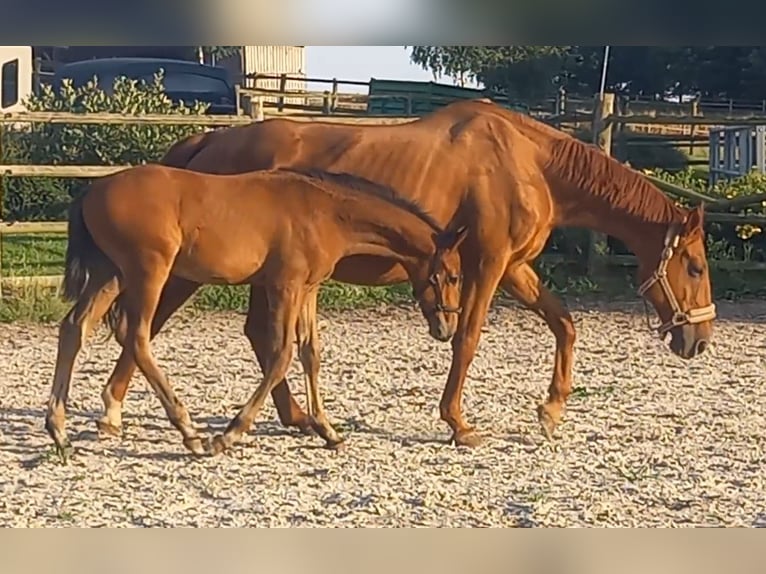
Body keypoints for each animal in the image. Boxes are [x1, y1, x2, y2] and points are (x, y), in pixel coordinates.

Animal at [48, 164, 472, 462]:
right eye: (452, 275)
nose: (447, 326)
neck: (324, 212)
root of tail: (92, 190)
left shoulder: (308, 289)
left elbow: (310, 354)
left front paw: (328, 431)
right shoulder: (284, 286)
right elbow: (281, 354)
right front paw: (230, 433)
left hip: (110, 273)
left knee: (74, 329)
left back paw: (60, 431)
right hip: (147, 271)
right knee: (135, 336)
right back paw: (190, 433)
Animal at [93, 99, 716, 450]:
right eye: (694, 264)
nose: (700, 340)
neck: (528, 162)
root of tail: (208, 141)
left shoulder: (515, 267)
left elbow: (564, 323)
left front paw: (552, 411)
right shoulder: (488, 264)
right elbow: (467, 340)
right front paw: (459, 424)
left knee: (245, 335)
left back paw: (293, 418)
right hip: (190, 270)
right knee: (143, 325)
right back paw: (118, 412)